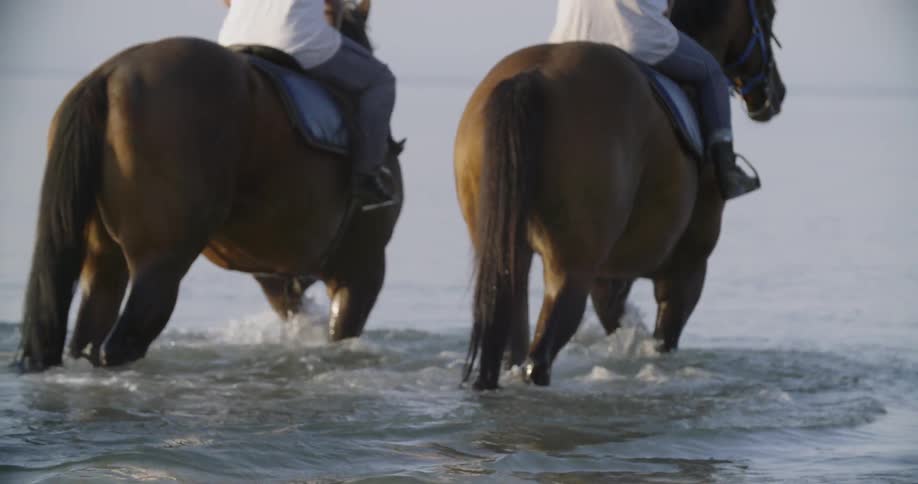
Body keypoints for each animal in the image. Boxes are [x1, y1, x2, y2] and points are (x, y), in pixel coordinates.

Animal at [14, 0, 403, 372]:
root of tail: (110, 74)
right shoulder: (362, 270)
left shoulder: (276, 277)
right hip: (162, 259)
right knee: (125, 340)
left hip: (103, 260)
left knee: (88, 337)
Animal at [455, 0, 786, 390]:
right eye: (767, 15)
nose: (776, 93)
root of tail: (533, 78)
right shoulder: (686, 271)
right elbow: (664, 341)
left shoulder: (609, 278)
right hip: (572, 269)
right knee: (538, 359)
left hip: (509, 259)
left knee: (508, 350)